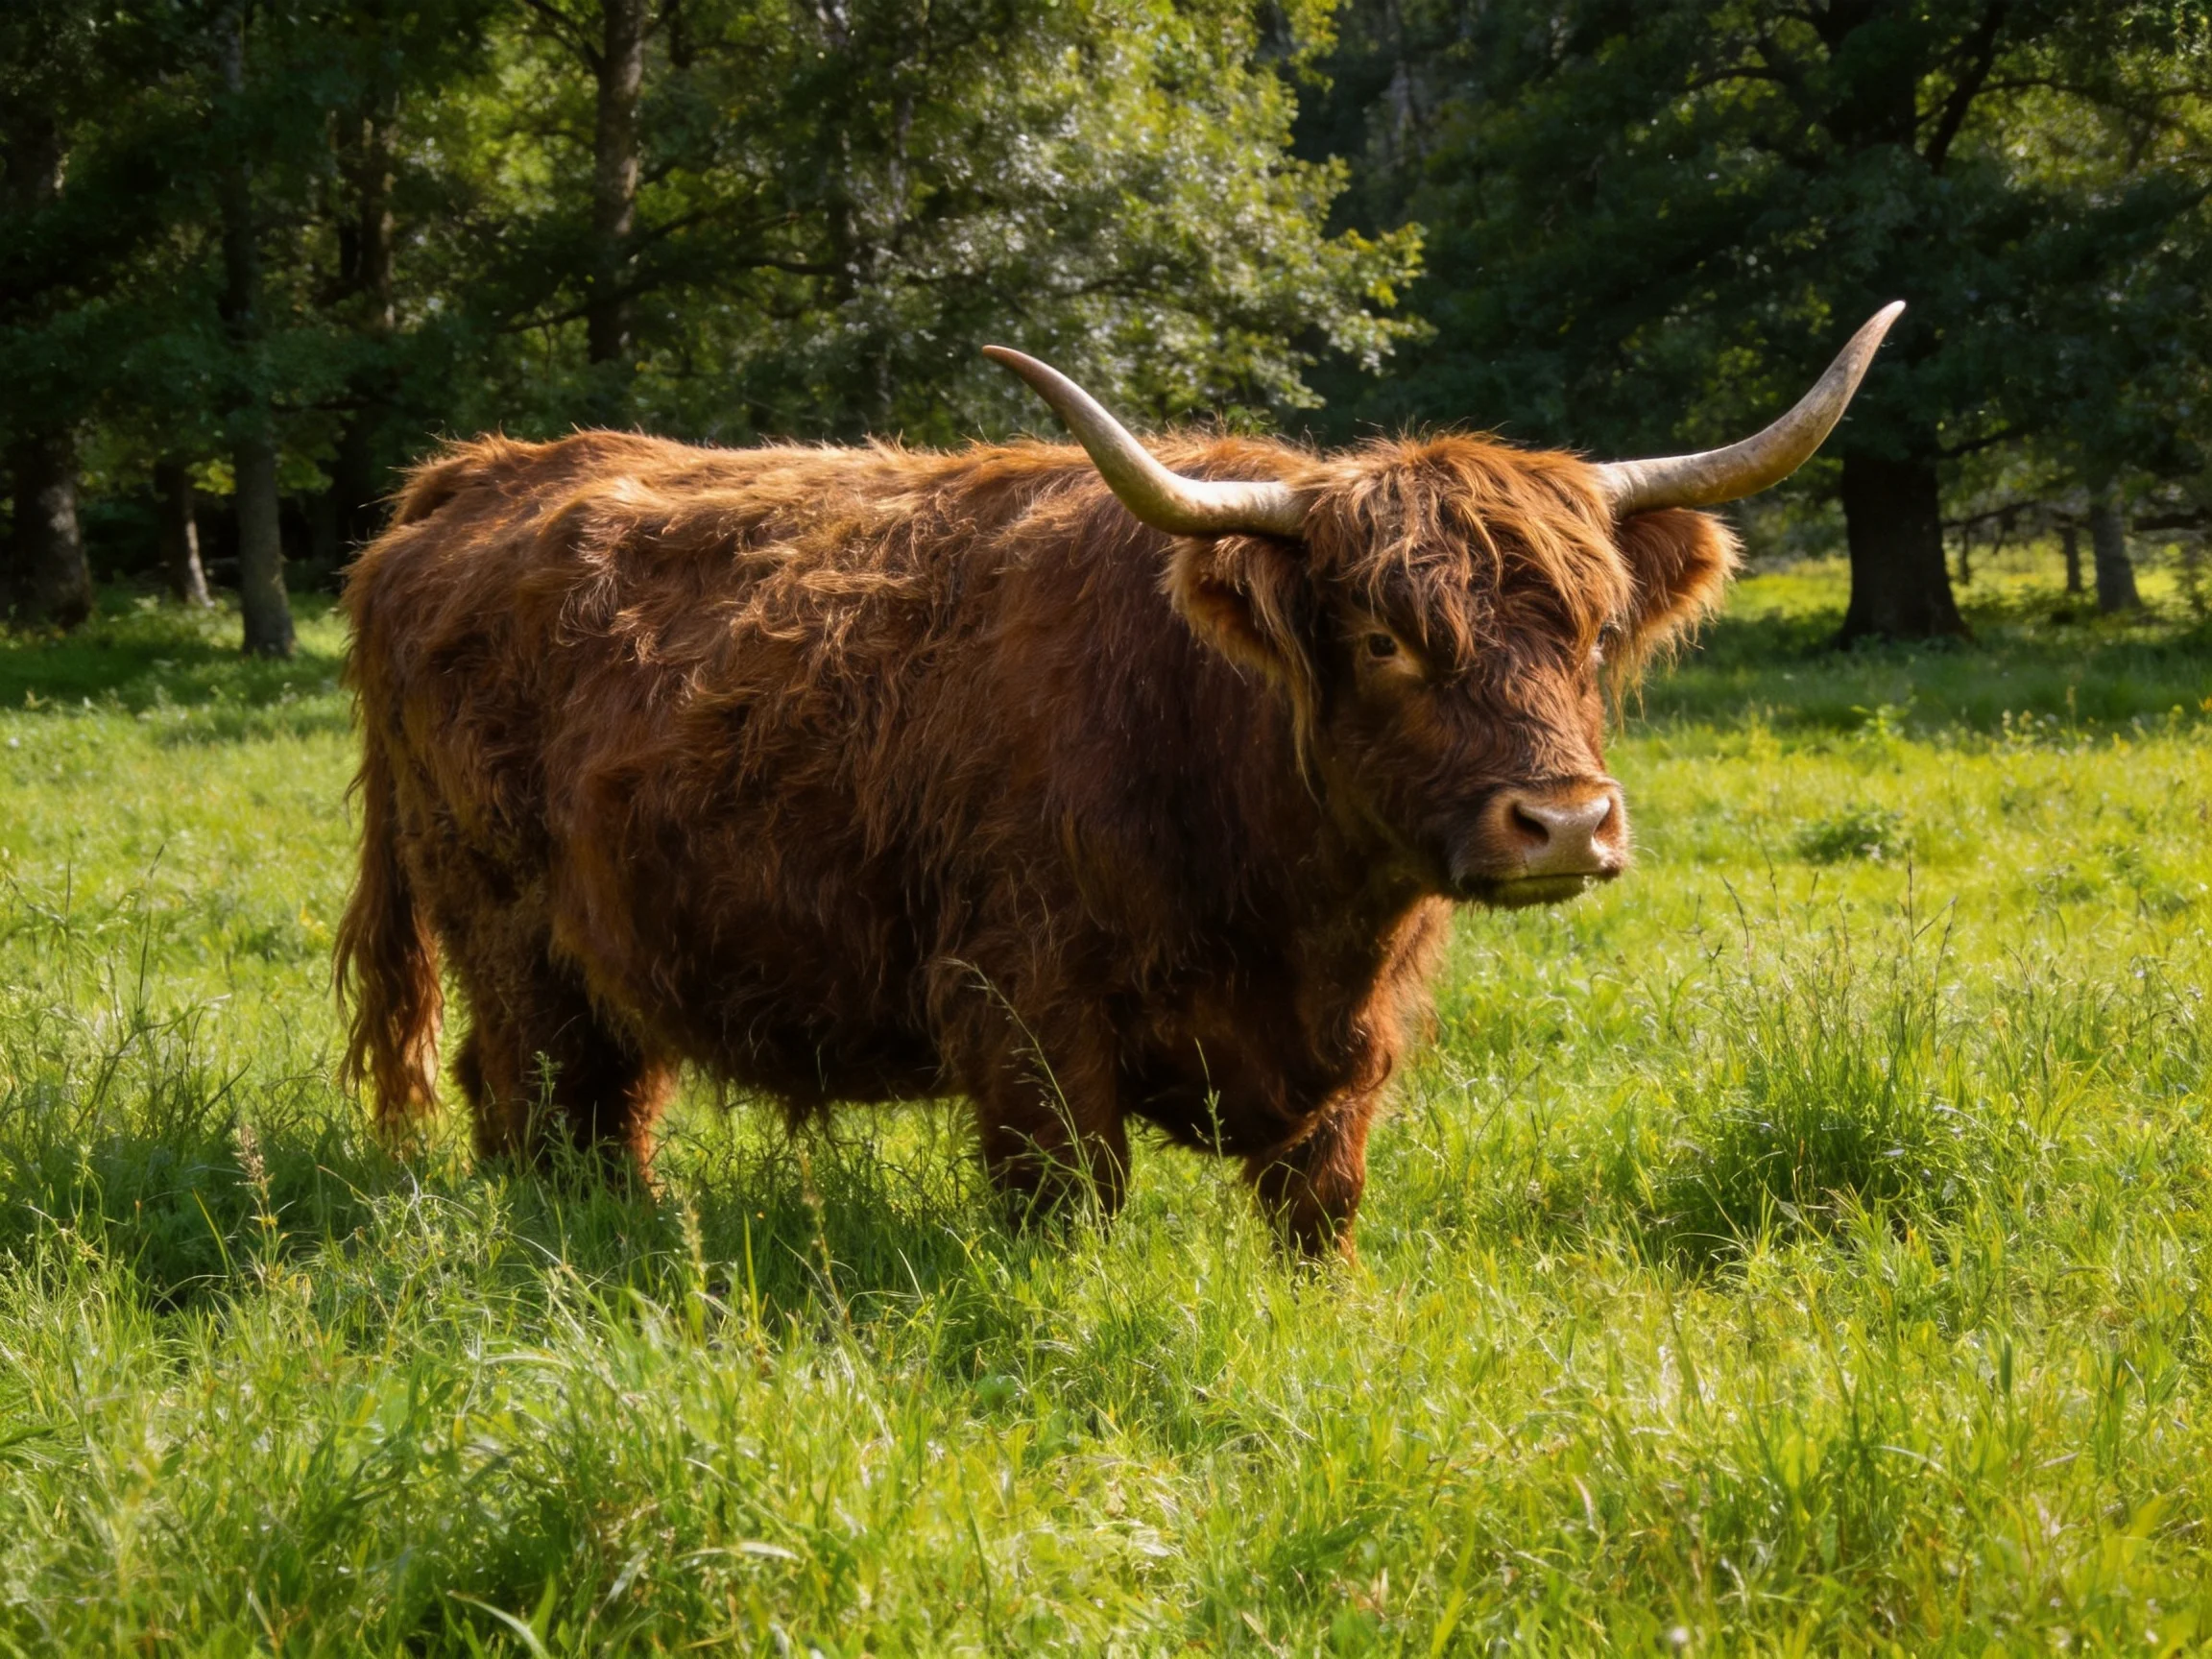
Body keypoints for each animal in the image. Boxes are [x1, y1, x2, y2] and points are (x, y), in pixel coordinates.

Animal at [337, 304, 1902, 1254]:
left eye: (1585, 631)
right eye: (1384, 640)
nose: (1564, 823)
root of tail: (477, 475)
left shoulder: (1353, 1057)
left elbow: (1321, 1211)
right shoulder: (1027, 1015)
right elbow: (1071, 1204)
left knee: (608, 1103)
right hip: (508, 930)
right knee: (528, 1096)